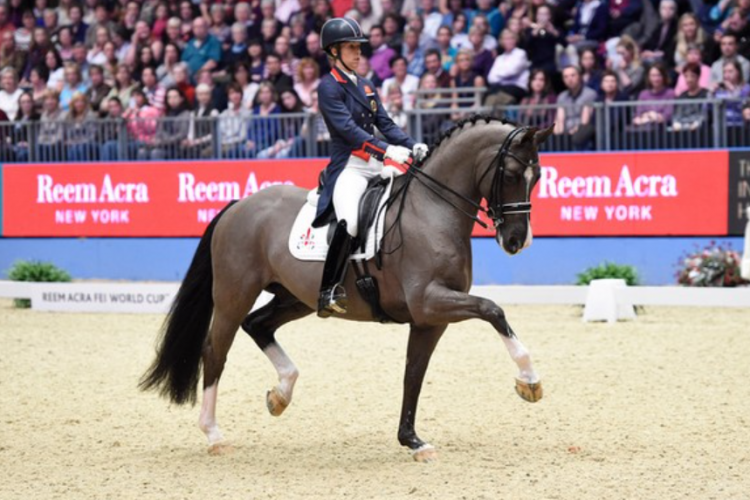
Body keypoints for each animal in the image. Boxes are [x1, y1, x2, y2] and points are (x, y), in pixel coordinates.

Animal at [141, 116, 556, 460]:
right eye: (512, 173)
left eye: (537, 177)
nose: (517, 240)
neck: (432, 209)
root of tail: (239, 205)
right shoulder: (429, 302)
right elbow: (492, 310)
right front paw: (530, 382)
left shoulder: (428, 319)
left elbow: (413, 374)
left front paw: (412, 440)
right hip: (233, 295)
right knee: (216, 352)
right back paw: (214, 434)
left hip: (296, 298)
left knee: (258, 325)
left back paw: (280, 395)